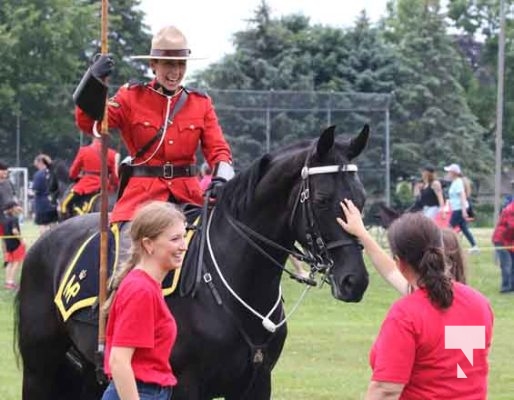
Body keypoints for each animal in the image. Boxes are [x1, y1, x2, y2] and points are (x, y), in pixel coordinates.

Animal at [15, 125, 368, 400]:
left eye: (361, 200)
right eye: (321, 200)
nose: (355, 280)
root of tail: (43, 244)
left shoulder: (256, 384)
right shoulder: (185, 384)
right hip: (39, 371)